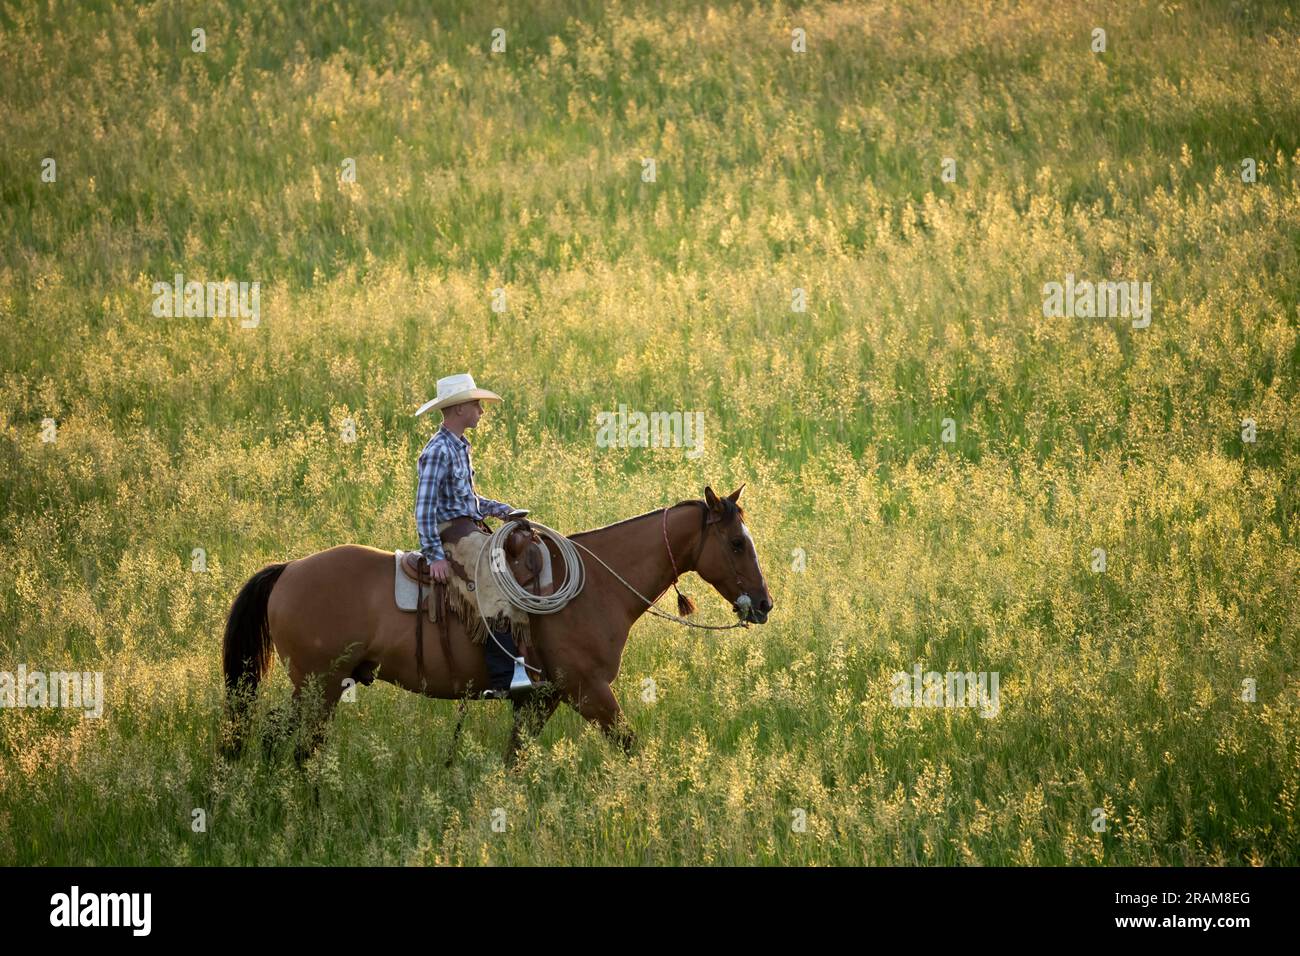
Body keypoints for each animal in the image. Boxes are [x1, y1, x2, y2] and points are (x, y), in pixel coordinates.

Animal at [221, 484, 772, 767]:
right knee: (290, 748)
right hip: (318, 686)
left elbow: (514, 760)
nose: (764, 605)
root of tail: (289, 569)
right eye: (736, 543)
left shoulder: (541, 699)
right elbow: (629, 746)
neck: (596, 587)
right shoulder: (589, 692)